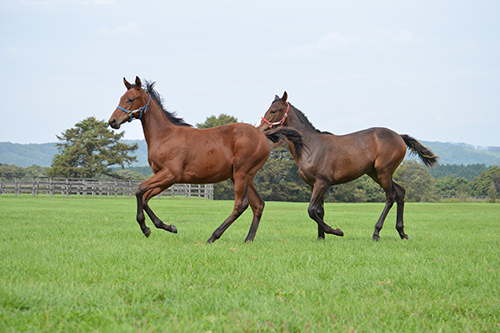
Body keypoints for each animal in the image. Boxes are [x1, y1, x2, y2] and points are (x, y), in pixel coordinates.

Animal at [109, 76, 302, 243]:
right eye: (121, 98)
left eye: (130, 99)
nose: (113, 121)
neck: (165, 136)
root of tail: (262, 134)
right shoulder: (166, 178)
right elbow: (145, 197)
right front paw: (167, 227)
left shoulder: (170, 174)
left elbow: (139, 190)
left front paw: (145, 227)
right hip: (245, 177)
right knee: (258, 205)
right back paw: (248, 239)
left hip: (242, 174)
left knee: (241, 204)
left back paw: (213, 236)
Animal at [258, 92, 438, 240]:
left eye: (273, 111)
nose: (261, 129)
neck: (310, 145)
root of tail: (399, 136)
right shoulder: (313, 185)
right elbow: (319, 211)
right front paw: (321, 237)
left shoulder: (322, 183)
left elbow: (311, 210)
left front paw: (336, 231)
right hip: (375, 173)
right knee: (400, 193)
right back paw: (402, 232)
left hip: (384, 172)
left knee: (391, 196)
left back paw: (376, 232)